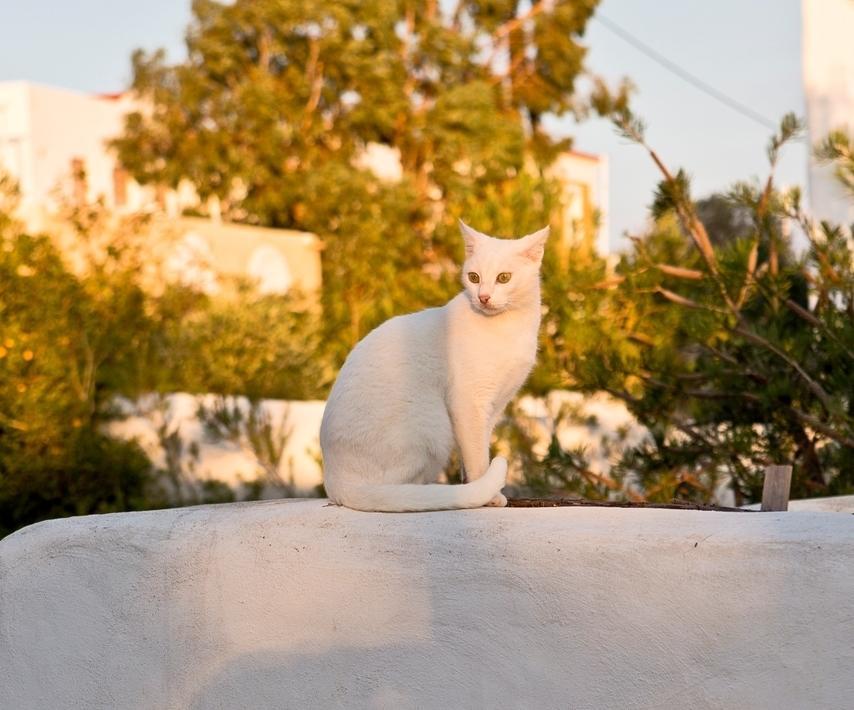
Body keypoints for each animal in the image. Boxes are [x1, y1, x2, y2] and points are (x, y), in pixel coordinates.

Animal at [320, 221, 548, 512]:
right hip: (434, 425)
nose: (483, 297)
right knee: (398, 490)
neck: (509, 328)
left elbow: (472, 456)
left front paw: (473, 489)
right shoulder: (469, 404)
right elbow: (478, 458)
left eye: (504, 278)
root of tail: (335, 481)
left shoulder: (494, 408)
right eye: (474, 277)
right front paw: (488, 496)